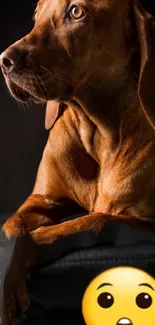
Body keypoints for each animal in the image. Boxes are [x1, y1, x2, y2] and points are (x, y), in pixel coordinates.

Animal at [0, 0, 155, 322]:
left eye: (76, 12)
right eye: (36, 15)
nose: (4, 61)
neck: (98, 132)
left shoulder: (145, 221)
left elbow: (95, 220)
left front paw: (39, 240)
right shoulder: (39, 200)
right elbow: (11, 228)